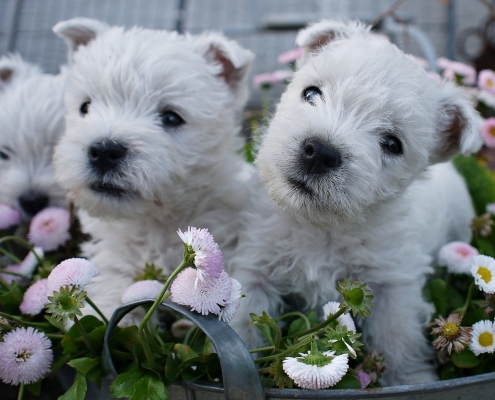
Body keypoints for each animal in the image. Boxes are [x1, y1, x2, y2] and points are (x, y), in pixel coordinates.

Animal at [232, 20, 484, 386]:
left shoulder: (393, 286)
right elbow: (241, 322)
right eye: (311, 93)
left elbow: (399, 339)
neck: (321, 227)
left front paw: (412, 378)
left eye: (392, 144)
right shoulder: (256, 269)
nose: (319, 152)